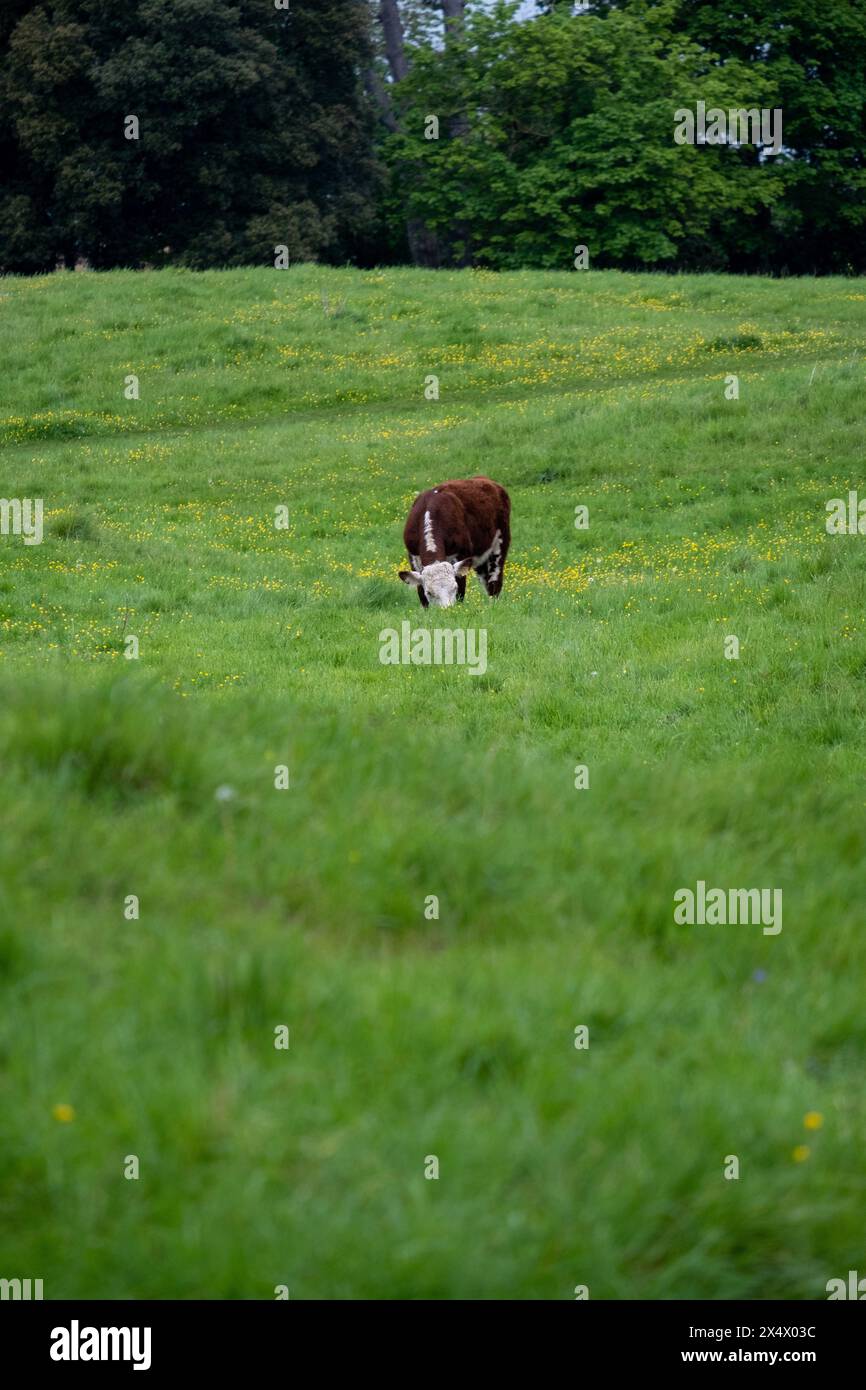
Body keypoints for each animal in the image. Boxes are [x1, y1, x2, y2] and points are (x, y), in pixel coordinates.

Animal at [400, 475, 511, 606]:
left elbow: (461, 592)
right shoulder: (413, 557)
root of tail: (485, 479)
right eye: (429, 593)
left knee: (494, 581)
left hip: (500, 542)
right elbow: (421, 595)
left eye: (454, 587)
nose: (447, 609)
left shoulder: (461, 554)